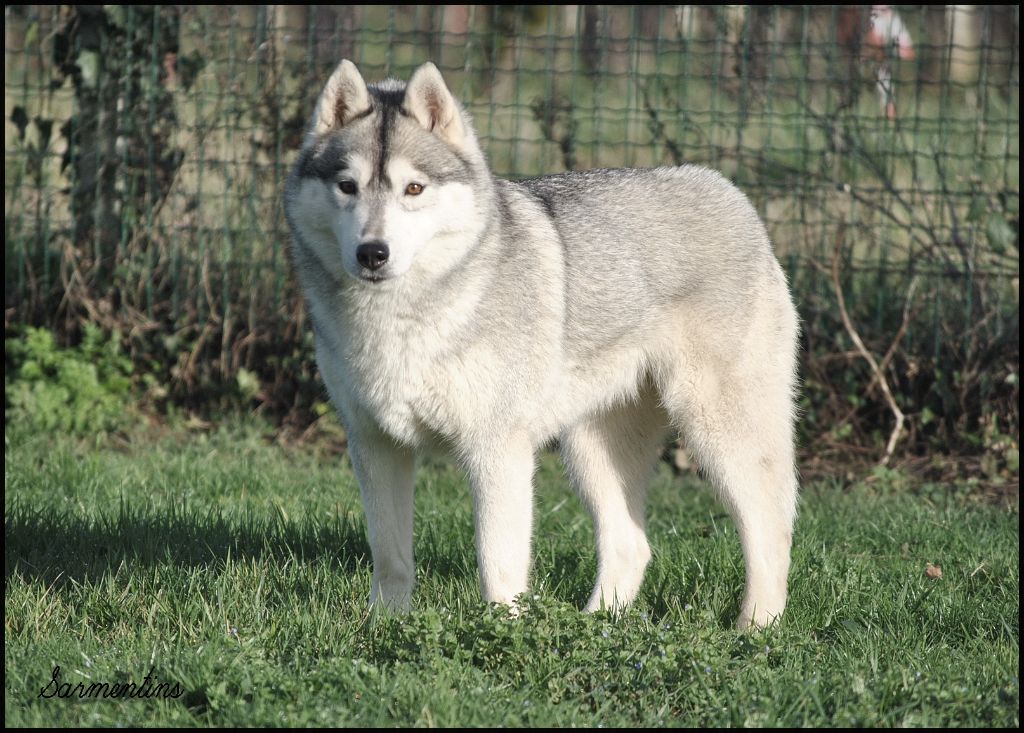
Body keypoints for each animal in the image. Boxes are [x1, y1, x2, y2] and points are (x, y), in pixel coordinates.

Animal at [285, 60, 800, 629]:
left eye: (414, 188)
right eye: (347, 186)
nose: (372, 253)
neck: (404, 316)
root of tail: (730, 193)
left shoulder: (496, 451)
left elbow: (497, 564)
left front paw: (502, 636)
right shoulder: (376, 445)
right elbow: (390, 556)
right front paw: (383, 628)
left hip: (716, 434)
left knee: (772, 530)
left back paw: (754, 628)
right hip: (591, 449)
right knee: (631, 545)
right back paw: (596, 627)